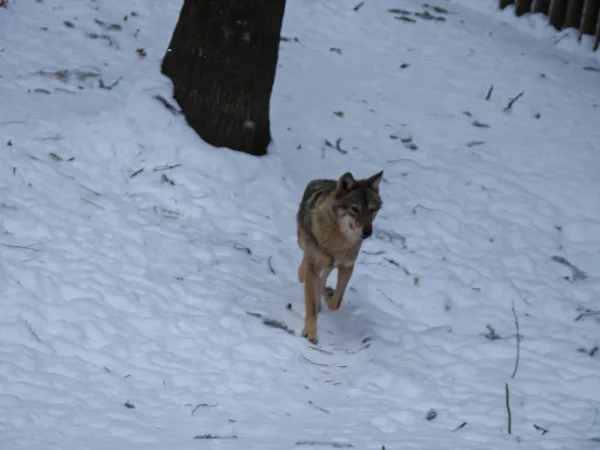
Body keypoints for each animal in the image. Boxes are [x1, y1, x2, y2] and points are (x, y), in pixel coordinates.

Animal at [296, 171, 384, 342]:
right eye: (354, 209)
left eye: (371, 210)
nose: (368, 232)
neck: (338, 240)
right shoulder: (314, 264)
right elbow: (310, 304)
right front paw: (310, 333)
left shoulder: (347, 266)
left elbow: (336, 302)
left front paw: (329, 296)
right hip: (303, 243)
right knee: (306, 268)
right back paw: (303, 274)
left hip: (332, 264)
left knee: (323, 277)